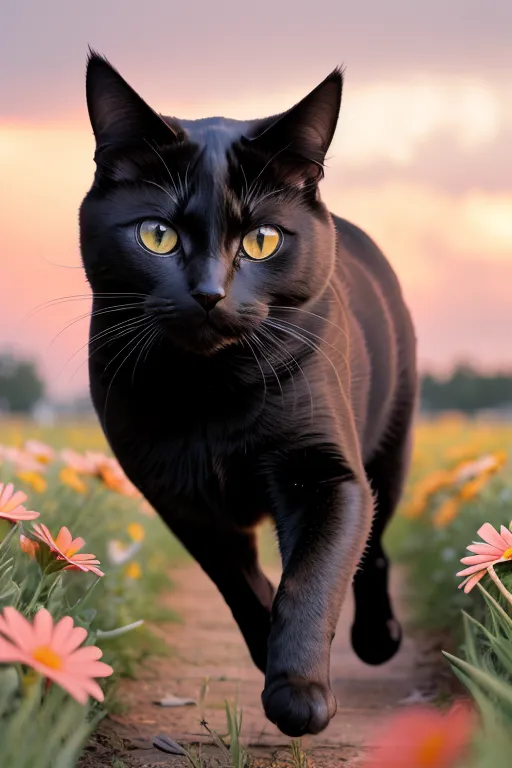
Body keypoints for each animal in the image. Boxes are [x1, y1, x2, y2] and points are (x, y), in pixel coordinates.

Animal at [79, 51, 416, 736]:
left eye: (263, 240)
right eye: (156, 234)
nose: (210, 293)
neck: (214, 394)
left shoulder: (325, 473)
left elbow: (311, 579)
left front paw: (300, 693)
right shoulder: (177, 496)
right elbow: (241, 583)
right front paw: (271, 660)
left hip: (389, 452)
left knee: (375, 550)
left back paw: (377, 639)